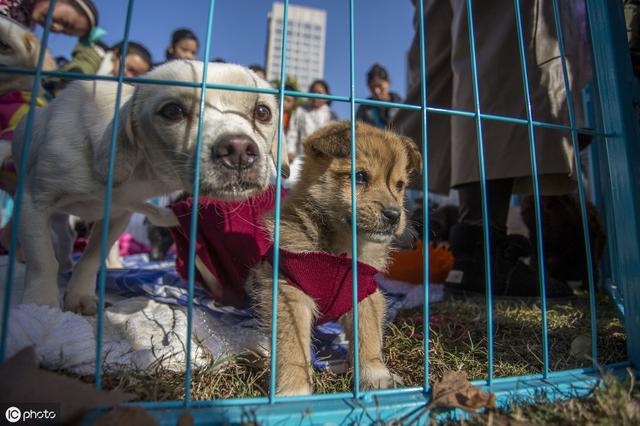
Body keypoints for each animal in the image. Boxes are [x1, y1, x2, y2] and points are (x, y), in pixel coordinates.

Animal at [13, 61, 288, 316]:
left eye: (262, 112)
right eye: (173, 111)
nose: (239, 150)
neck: (139, 176)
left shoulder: (117, 216)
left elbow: (91, 258)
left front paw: (79, 295)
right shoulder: (32, 203)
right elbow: (42, 260)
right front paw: (40, 306)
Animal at [248, 120, 422, 396]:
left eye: (400, 185)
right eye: (360, 176)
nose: (395, 215)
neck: (340, 253)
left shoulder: (364, 294)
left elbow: (368, 337)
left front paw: (376, 376)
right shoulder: (288, 294)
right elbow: (293, 349)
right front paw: (293, 391)